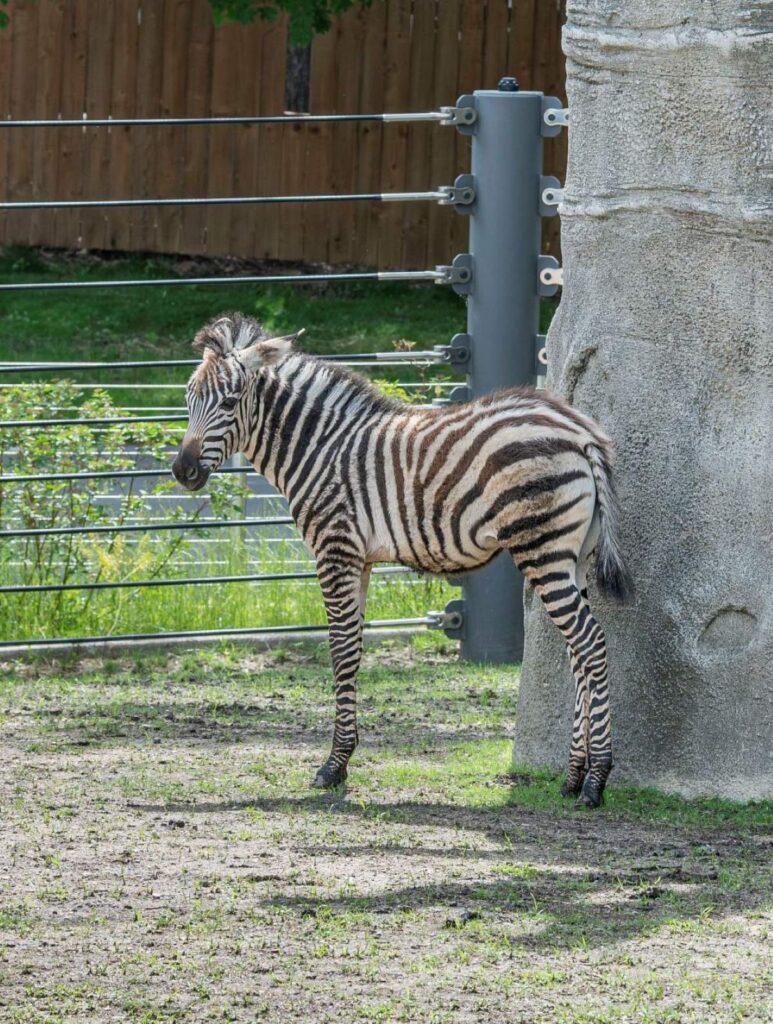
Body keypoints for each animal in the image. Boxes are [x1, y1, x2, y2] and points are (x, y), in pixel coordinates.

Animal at [172, 314, 633, 808]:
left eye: (230, 401)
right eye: (188, 398)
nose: (183, 471)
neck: (320, 448)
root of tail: (581, 431)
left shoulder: (335, 549)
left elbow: (339, 649)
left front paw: (333, 766)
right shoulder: (360, 559)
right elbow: (353, 648)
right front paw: (344, 758)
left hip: (542, 547)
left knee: (590, 642)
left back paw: (596, 780)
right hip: (575, 555)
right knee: (578, 652)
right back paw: (572, 776)